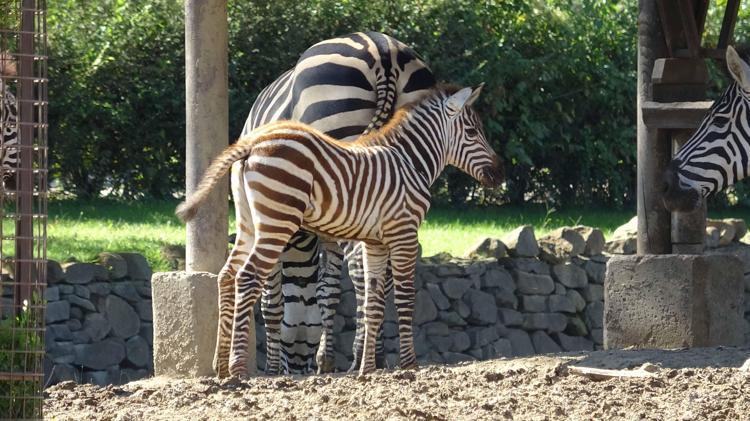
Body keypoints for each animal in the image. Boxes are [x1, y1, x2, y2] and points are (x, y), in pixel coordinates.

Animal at [176, 84, 504, 377]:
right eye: (472, 132)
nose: (500, 174)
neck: (409, 162)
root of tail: (253, 142)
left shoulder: (375, 242)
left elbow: (373, 303)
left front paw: (366, 370)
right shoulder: (404, 233)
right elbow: (404, 299)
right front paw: (409, 366)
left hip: (249, 223)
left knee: (226, 276)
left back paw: (220, 366)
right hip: (277, 222)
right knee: (247, 277)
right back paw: (238, 370)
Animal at [238, 32, 435, 374]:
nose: (298, 369)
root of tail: (382, 48)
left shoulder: (285, 226)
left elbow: (275, 302)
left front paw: (275, 370)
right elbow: (327, 290)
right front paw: (324, 359)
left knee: (360, 267)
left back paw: (362, 357)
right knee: (383, 272)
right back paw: (373, 355)